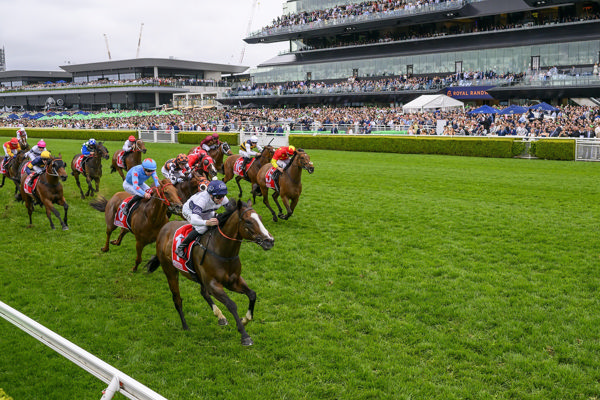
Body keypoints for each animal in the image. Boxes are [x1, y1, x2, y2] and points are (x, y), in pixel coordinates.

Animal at [143, 198, 274, 346]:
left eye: (260, 218)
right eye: (248, 221)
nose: (270, 241)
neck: (222, 251)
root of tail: (164, 229)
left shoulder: (233, 281)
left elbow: (252, 294)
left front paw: (245, 319)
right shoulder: (213, 284)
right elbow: (231, 304)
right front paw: (245, 336)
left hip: (199, 276)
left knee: (203, 292)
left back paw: (220, 316)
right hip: (170, 271)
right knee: (177, 299)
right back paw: (185, 326)